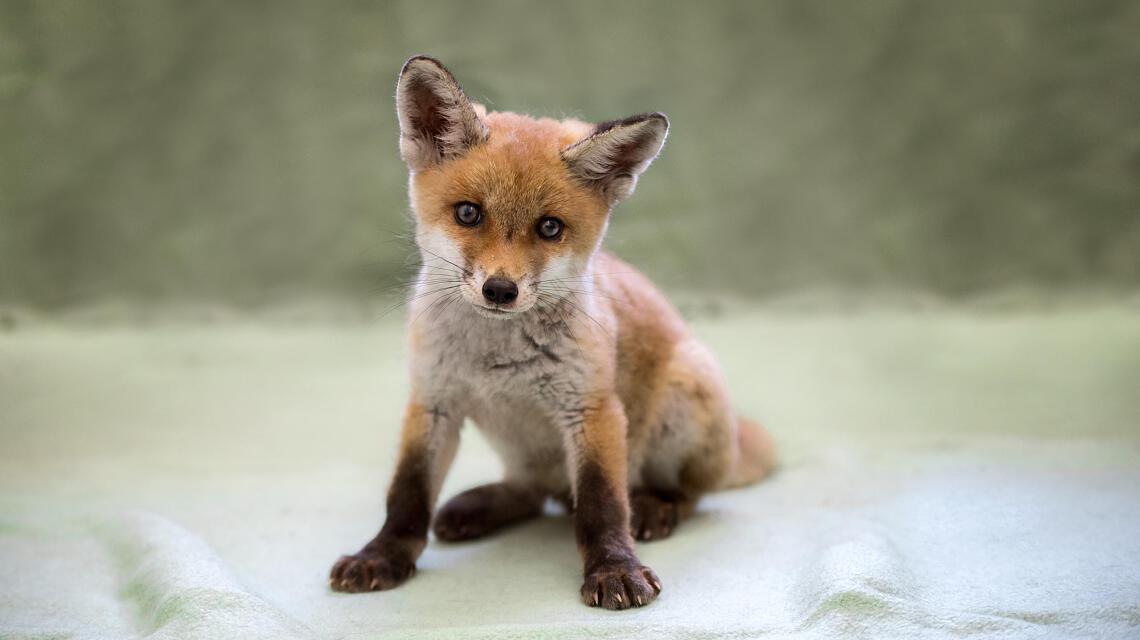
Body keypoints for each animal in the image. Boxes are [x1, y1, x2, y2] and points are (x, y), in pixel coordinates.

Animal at [330, 56, 775, 606]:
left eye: (549, 228)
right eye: (468, 213)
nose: (500, 290)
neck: (496, 360)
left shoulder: (592, 409)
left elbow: (604, 504)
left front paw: (614, 568)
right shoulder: (432, 401)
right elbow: (406, 493)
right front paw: (383, 555)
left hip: (686, 393)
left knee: (685, 496)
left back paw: (656, 506)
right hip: (517, 443)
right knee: (530, 490)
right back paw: (483, 505)